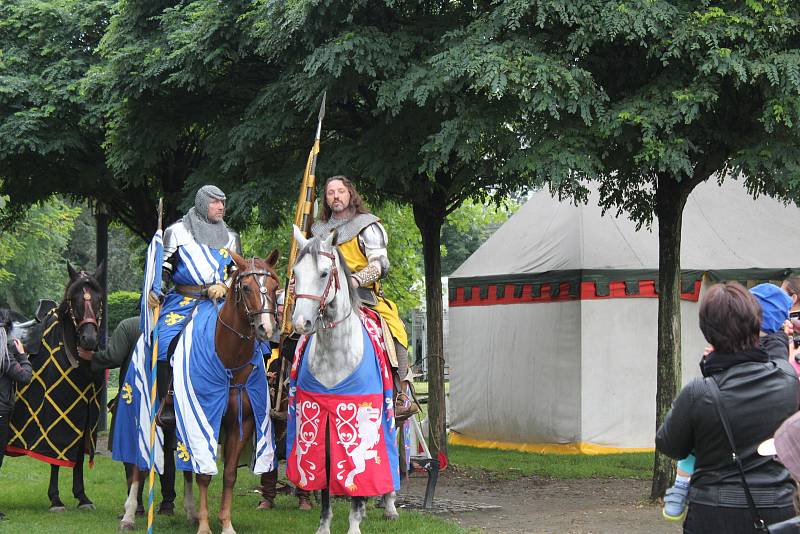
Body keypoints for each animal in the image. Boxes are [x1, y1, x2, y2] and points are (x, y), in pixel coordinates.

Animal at [5, 264, 105, 510]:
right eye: (73, 300)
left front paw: (82, 496)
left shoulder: (85, 415)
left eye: (98, 299)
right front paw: (56, 499)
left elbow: (78, 456)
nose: (89, 340)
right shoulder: (56, 416)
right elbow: (55, 457)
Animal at [120, 251, 280, 534]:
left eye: (274, 287)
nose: (266, 328)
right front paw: (205, 527)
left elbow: (228, 475)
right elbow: (204, 475)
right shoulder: (203, 416)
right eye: (246, 287)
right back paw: (129, 515)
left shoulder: (242, 424)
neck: (228, 362)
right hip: (144, 413)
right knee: (140, 463)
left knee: (184, 469)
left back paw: (190, 511)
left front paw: (225, 524)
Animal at [290, 228, 398, 534]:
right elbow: (325, 470)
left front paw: (354, 523)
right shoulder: (321, 418)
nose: (300, 323)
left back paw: (390, 505)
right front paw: (324, 525)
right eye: (296, 273)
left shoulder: (354, 420)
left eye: (324, 273)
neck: (336, 354)